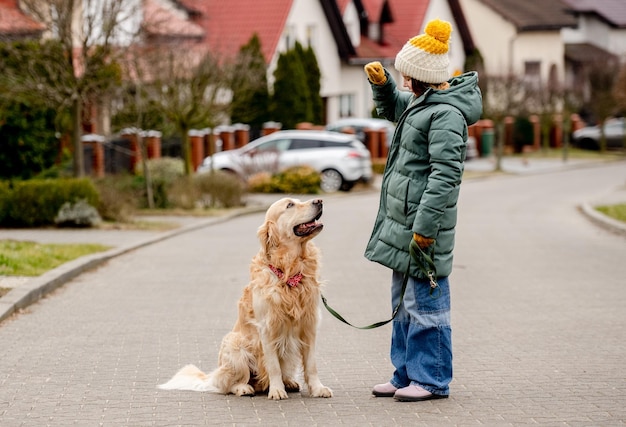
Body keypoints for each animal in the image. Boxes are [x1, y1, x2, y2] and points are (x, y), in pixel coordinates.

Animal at [158, 198, 332, 402]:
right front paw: (276, 390)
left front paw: (318, 388)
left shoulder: (309, 326)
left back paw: (289, 382)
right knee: (230, 384)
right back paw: (244, 388)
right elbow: (273, 366)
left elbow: (311, 365)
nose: (319, 200)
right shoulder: (267, 329)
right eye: (290, 205)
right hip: (235, 345)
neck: (290, 270)